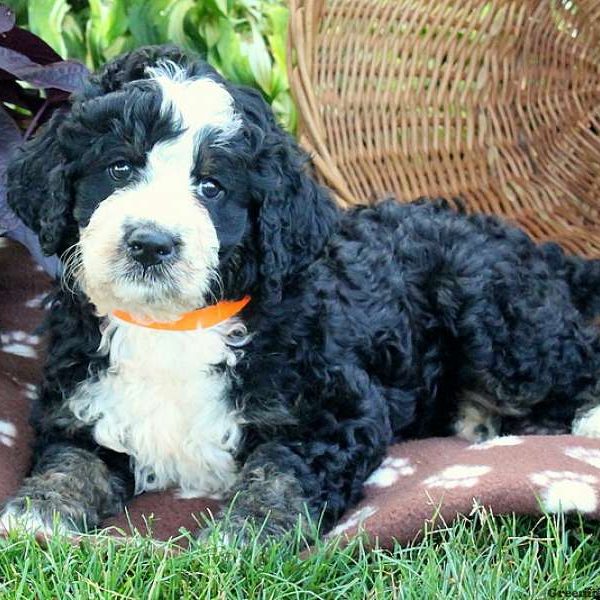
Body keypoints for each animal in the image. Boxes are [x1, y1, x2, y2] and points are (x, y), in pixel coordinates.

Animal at [3, 45, 600, 540]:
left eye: (212, 187)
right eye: (119, 166)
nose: (151, 243)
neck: (173, 326)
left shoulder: (337, 411)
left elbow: (282, 471)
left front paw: (248, 531)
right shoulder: (79, 405)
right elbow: (71, 460)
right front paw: (38, 512)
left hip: (495, 317)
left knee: (571, 361)